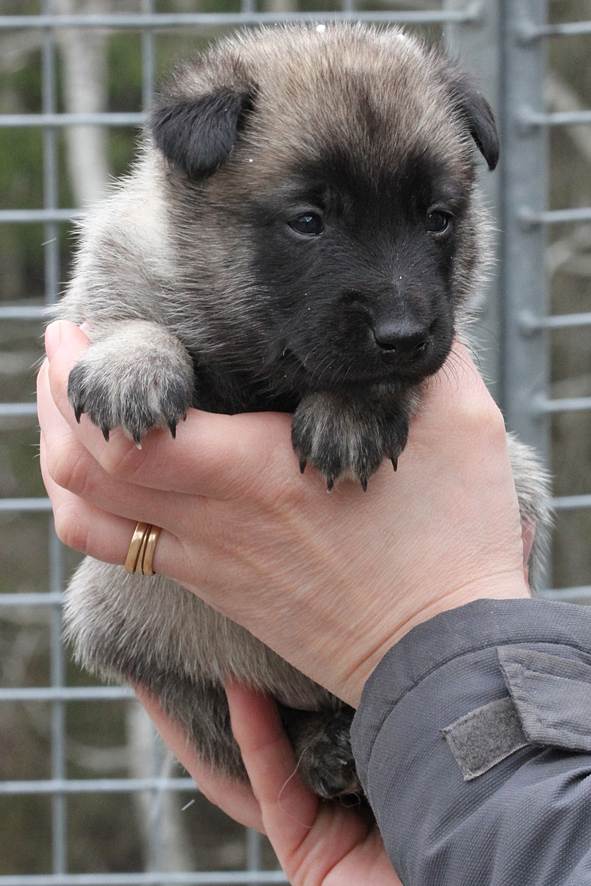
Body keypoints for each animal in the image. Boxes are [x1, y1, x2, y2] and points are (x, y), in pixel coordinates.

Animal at [57, 24, 552, 800]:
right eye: (308, 222)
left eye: (438, 220)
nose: (403, 333)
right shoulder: (119, 270)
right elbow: (128, 310)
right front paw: (133, 362)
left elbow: (373, 380)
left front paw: (351, 410)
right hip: (120, 612)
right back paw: (323, 746)